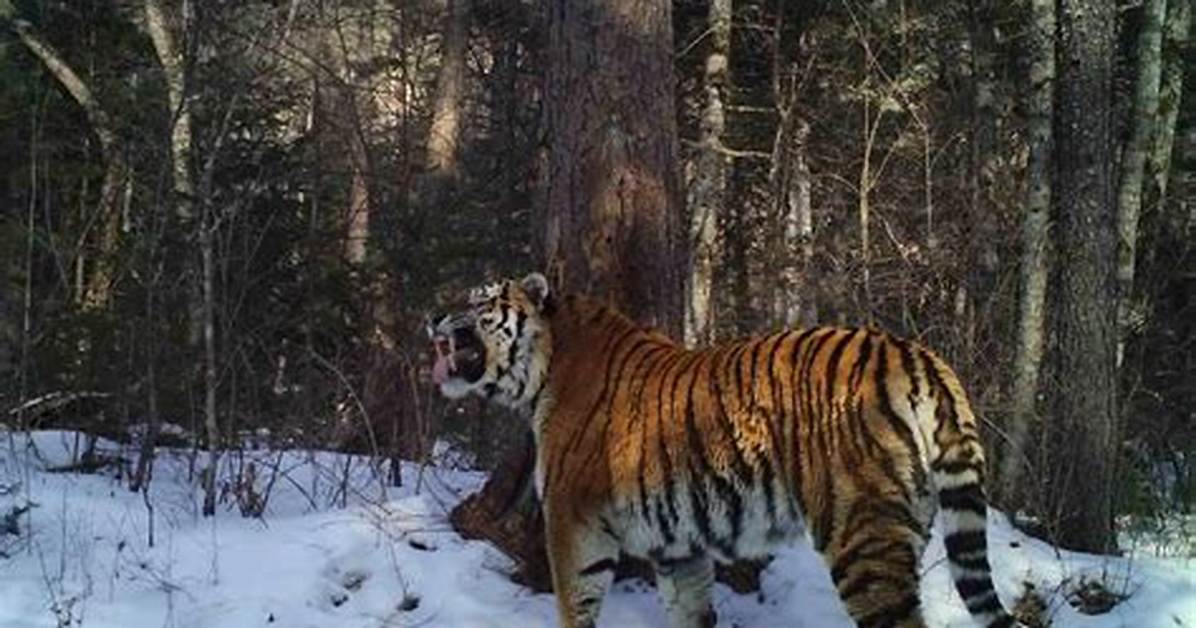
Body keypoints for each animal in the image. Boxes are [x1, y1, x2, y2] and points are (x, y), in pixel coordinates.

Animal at [429, 272, 1019, 628]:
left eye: (479, 300)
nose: (431, 315)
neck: (545, 368)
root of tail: (921, 357)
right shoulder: (677, 544)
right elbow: (690, 611)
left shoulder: (574, 521)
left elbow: (576, 605)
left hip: (864, 534)